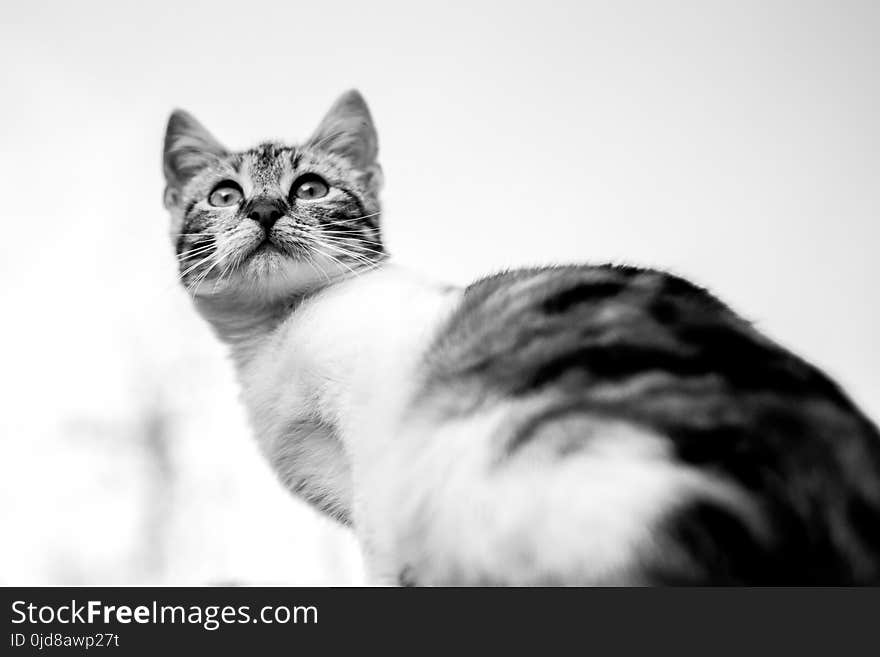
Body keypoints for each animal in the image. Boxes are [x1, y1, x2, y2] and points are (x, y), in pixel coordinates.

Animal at [160, 88, 880, 584]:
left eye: (310, 187)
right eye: (224, 195)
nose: (263, 208)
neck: (276, 333)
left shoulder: (377, 473)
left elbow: (383, 551)